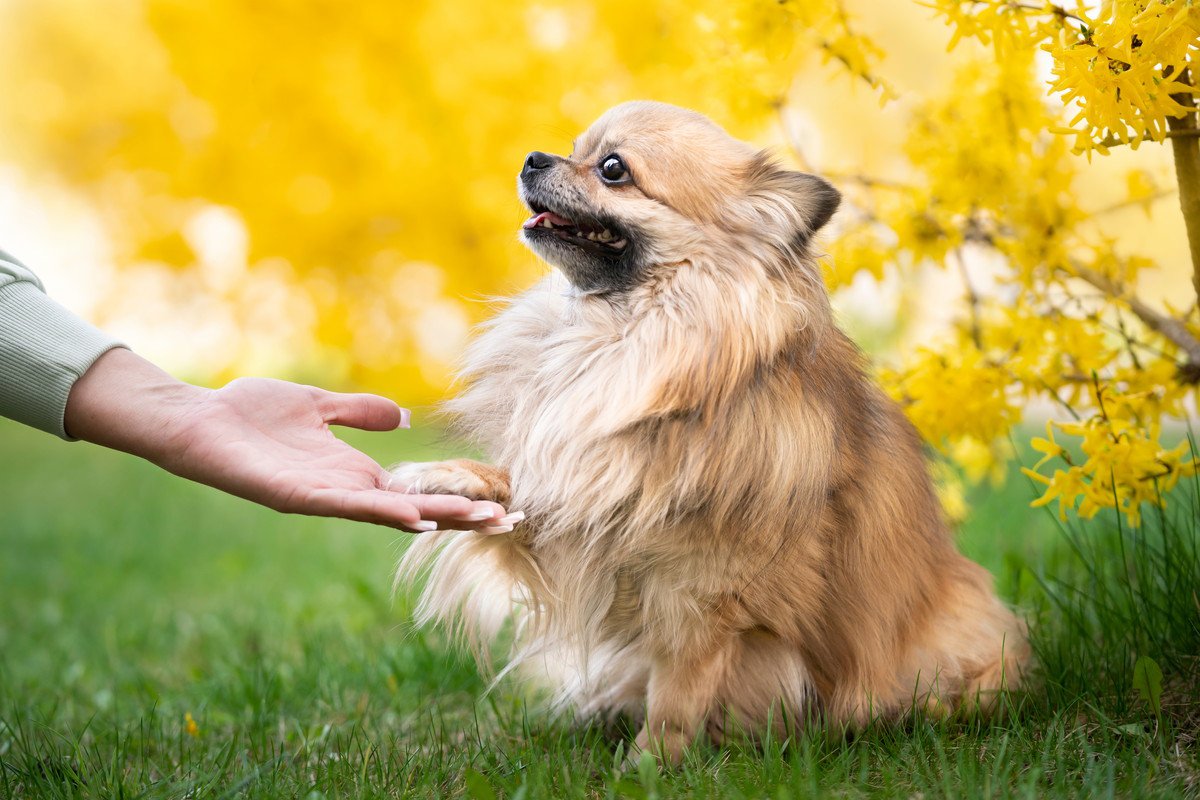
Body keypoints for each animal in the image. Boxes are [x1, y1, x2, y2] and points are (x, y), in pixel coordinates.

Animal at [388, 100, 1027, 762]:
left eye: (612, 168)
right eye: (574, 148)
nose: (533, 157)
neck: (619, 338)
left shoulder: (703, 595)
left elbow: (677, 692)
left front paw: (649, 763)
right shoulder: (586, 501)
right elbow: (521, 486)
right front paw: (450, 478)